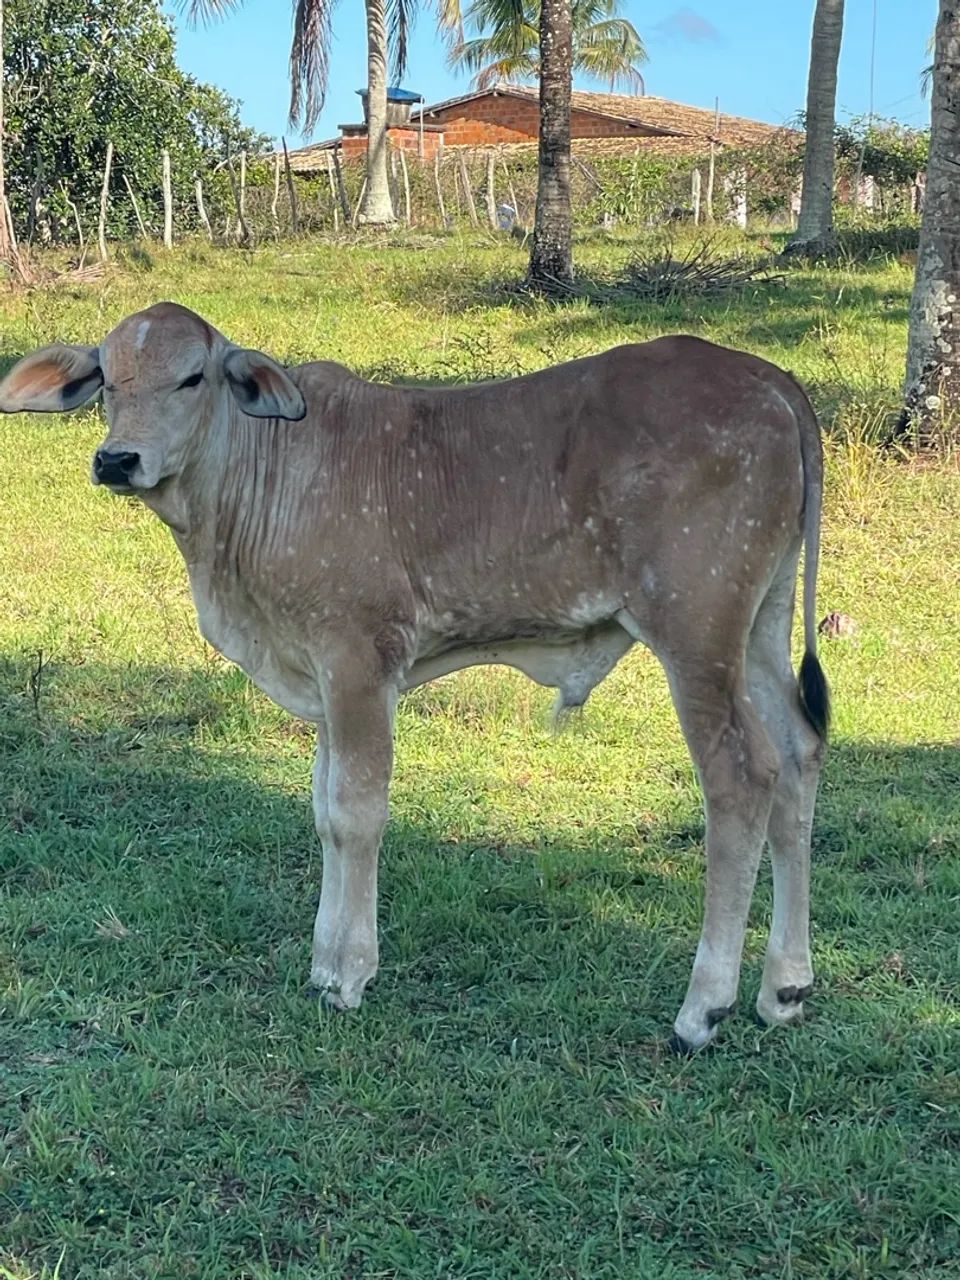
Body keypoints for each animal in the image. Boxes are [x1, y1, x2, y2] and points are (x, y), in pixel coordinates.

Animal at [0, 302, 829, 1051]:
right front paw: (322, 961)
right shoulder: (323, 678)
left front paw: (349, 974)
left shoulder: (357, 659)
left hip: (695, 629)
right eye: (108, 380)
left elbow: (356, 813)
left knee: (741, 778)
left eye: (193, 377)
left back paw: (705, 1007)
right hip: (761, 623)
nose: (117, 460)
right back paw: (784, 988)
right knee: (797, 755)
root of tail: (772, 379)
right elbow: (324, 810)